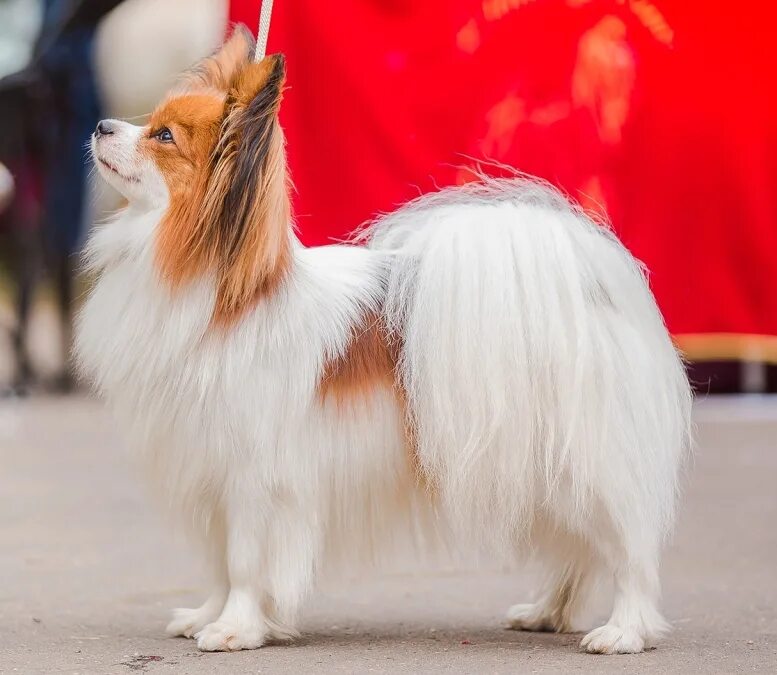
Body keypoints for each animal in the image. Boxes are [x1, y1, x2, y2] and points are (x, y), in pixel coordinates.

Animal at [76, 26, 688, 656]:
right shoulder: (210, 474)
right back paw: (547, 612)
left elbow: (244, 564)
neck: (219, 295)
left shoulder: (254, 478)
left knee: (628, 552)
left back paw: (624, 631)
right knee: (579, 551)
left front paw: (234, 629)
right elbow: (220, 564)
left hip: (585, 469)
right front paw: (208, 615)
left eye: (163, 136)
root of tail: (588, 287)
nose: (100, 125)